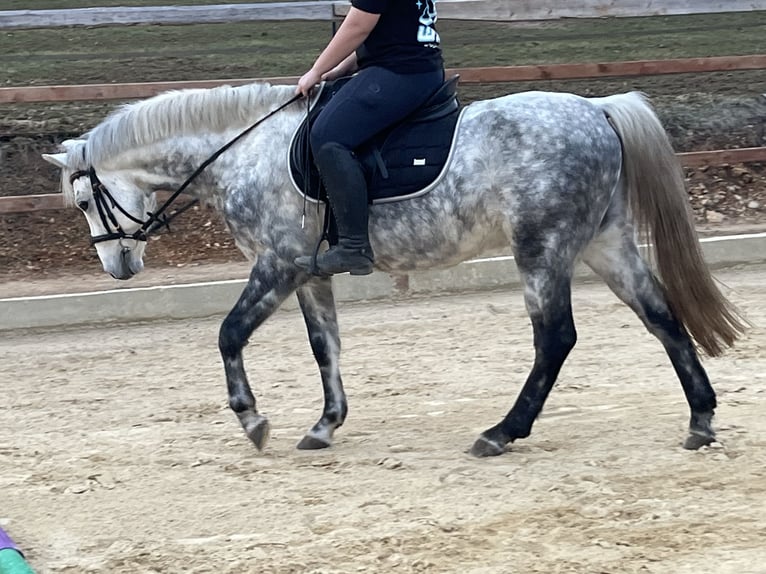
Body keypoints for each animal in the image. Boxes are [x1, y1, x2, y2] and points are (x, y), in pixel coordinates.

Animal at [39, 82, 748, 460]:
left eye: (83, 200)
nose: (117, 266)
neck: (243, 151)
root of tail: (596, 107)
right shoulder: (310, 274)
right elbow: (325, 347)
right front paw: (325, 425)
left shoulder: (278, 264)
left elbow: (229, 335)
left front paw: (252, 420)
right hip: (604, 243)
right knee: (661, 317)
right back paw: (701, 420)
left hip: (542, 250)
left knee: (556, 339)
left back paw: (501, 433)